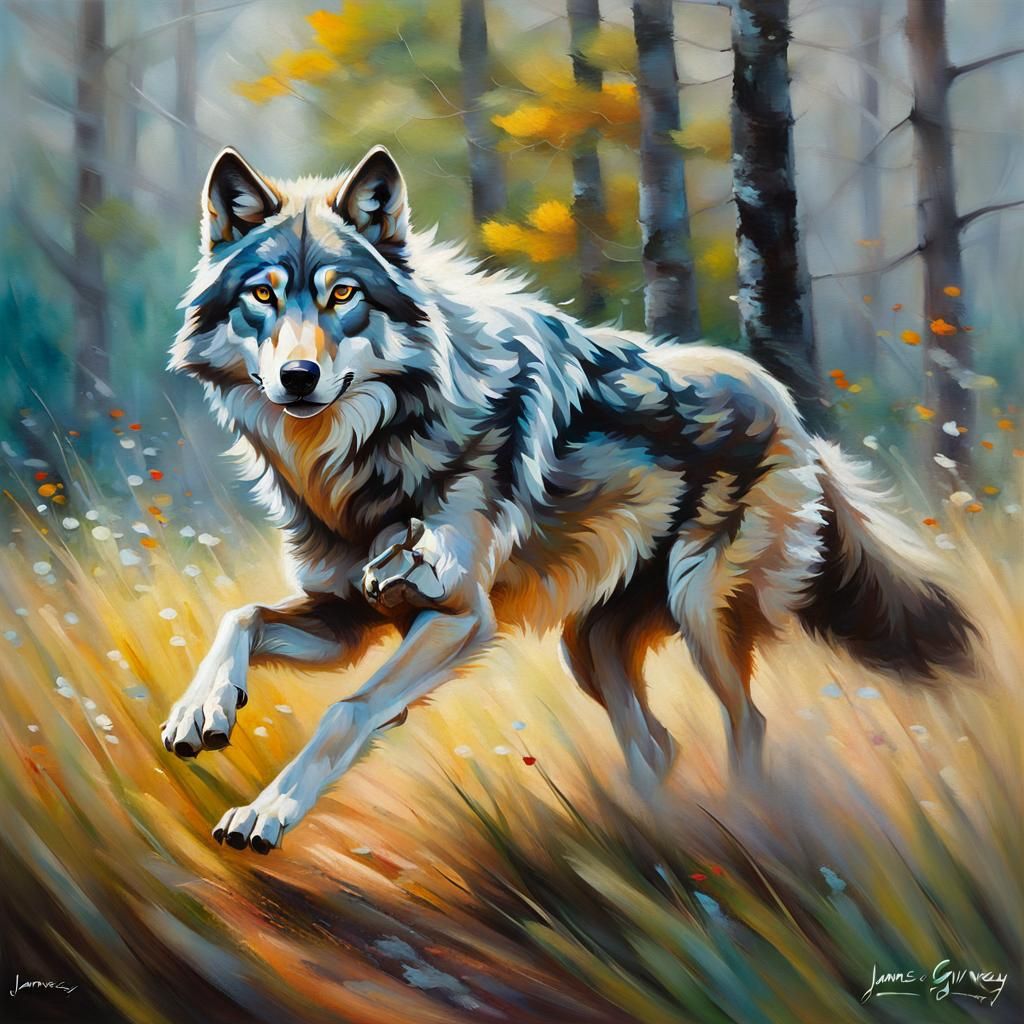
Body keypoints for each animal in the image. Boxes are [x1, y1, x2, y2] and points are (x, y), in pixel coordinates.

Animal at [163, 145, 975, 854]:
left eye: (343, 295)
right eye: (262, 295)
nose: (298, 377)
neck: (357, 460)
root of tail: (793, 413)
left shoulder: (457, 615)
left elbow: (347, 709)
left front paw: (265, 814)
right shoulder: (347, 618)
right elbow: (241, 618)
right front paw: (201, 710)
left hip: (699, 612)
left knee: (748, 727)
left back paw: (748, 824)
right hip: (589, 647)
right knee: (659, 746)